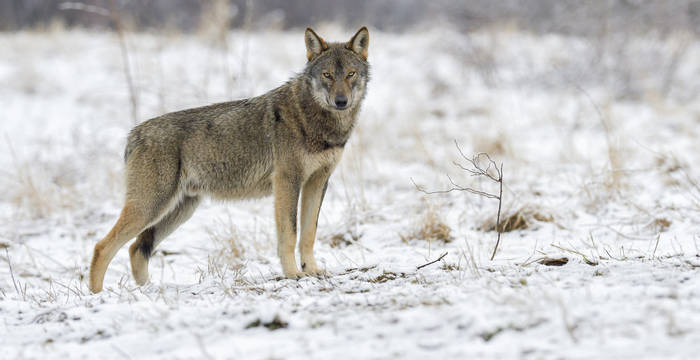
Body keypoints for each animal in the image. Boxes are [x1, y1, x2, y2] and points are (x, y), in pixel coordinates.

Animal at [90, 27, 370, 292]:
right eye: (327, 75)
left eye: (350, 74)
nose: (341, 101)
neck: (315, 120)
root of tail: (132, 134)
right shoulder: (287, 182)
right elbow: (289, 234)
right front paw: (293, 274)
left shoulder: (317, 182)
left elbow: (309, 233)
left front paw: (312, 271)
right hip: (151, 207)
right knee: (102, 246)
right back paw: (96, 295)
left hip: (178, 210)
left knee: (136, 248)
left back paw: (147, 291)